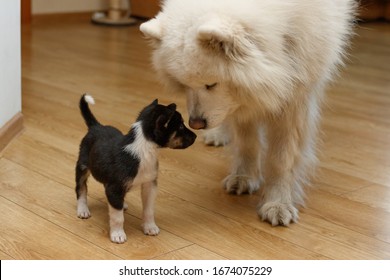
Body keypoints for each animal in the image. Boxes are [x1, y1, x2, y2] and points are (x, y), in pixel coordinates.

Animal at [75, 94, 197, 243]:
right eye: (180, 126)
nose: (196, 136)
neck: (144, 150)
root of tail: (96, 126)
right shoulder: (115, 187)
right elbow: (117, 217)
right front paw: (117, 234)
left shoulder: (150, 185)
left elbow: (149, 210)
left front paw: (150, 227)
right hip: (82, 167)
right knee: (81, 188)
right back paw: (83, 210)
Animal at [140, 0, 356, 226]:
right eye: (184, 85)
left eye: (211, 84)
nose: (196, 124)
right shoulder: (242, 101)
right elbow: (247, 143)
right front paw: (244, 178)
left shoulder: (295, 97)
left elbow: (282, 158)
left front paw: (278, 203)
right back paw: (218, 135)